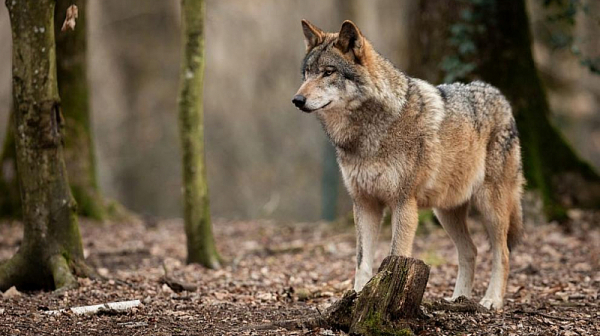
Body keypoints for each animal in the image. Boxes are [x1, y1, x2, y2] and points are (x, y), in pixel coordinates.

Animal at [292, 20, 524, 310]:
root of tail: (500, 96)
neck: (368, 133)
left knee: (502, 253)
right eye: (307, 73)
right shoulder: (365, 203)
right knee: (470, 251)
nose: (297, 100)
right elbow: (362, 263)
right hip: (445, 211)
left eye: (328, 72)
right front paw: (356, 299)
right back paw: (458, 299)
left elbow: (395, 256)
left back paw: (491, 300)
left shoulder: (403, 203)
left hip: (490, 207)